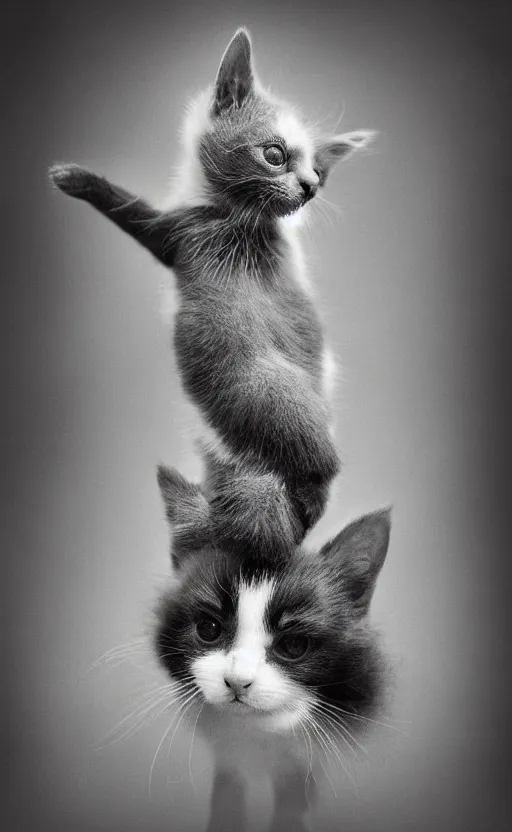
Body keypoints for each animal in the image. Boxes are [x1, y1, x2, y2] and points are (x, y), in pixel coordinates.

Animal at [48, 29, 376, 552]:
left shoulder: (173, 233)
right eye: (276, 154)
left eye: (319, 174)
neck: (239, 214)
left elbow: (128, 207)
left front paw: (77, 179)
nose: (308, 187)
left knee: (316, 473)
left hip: (266, 392)